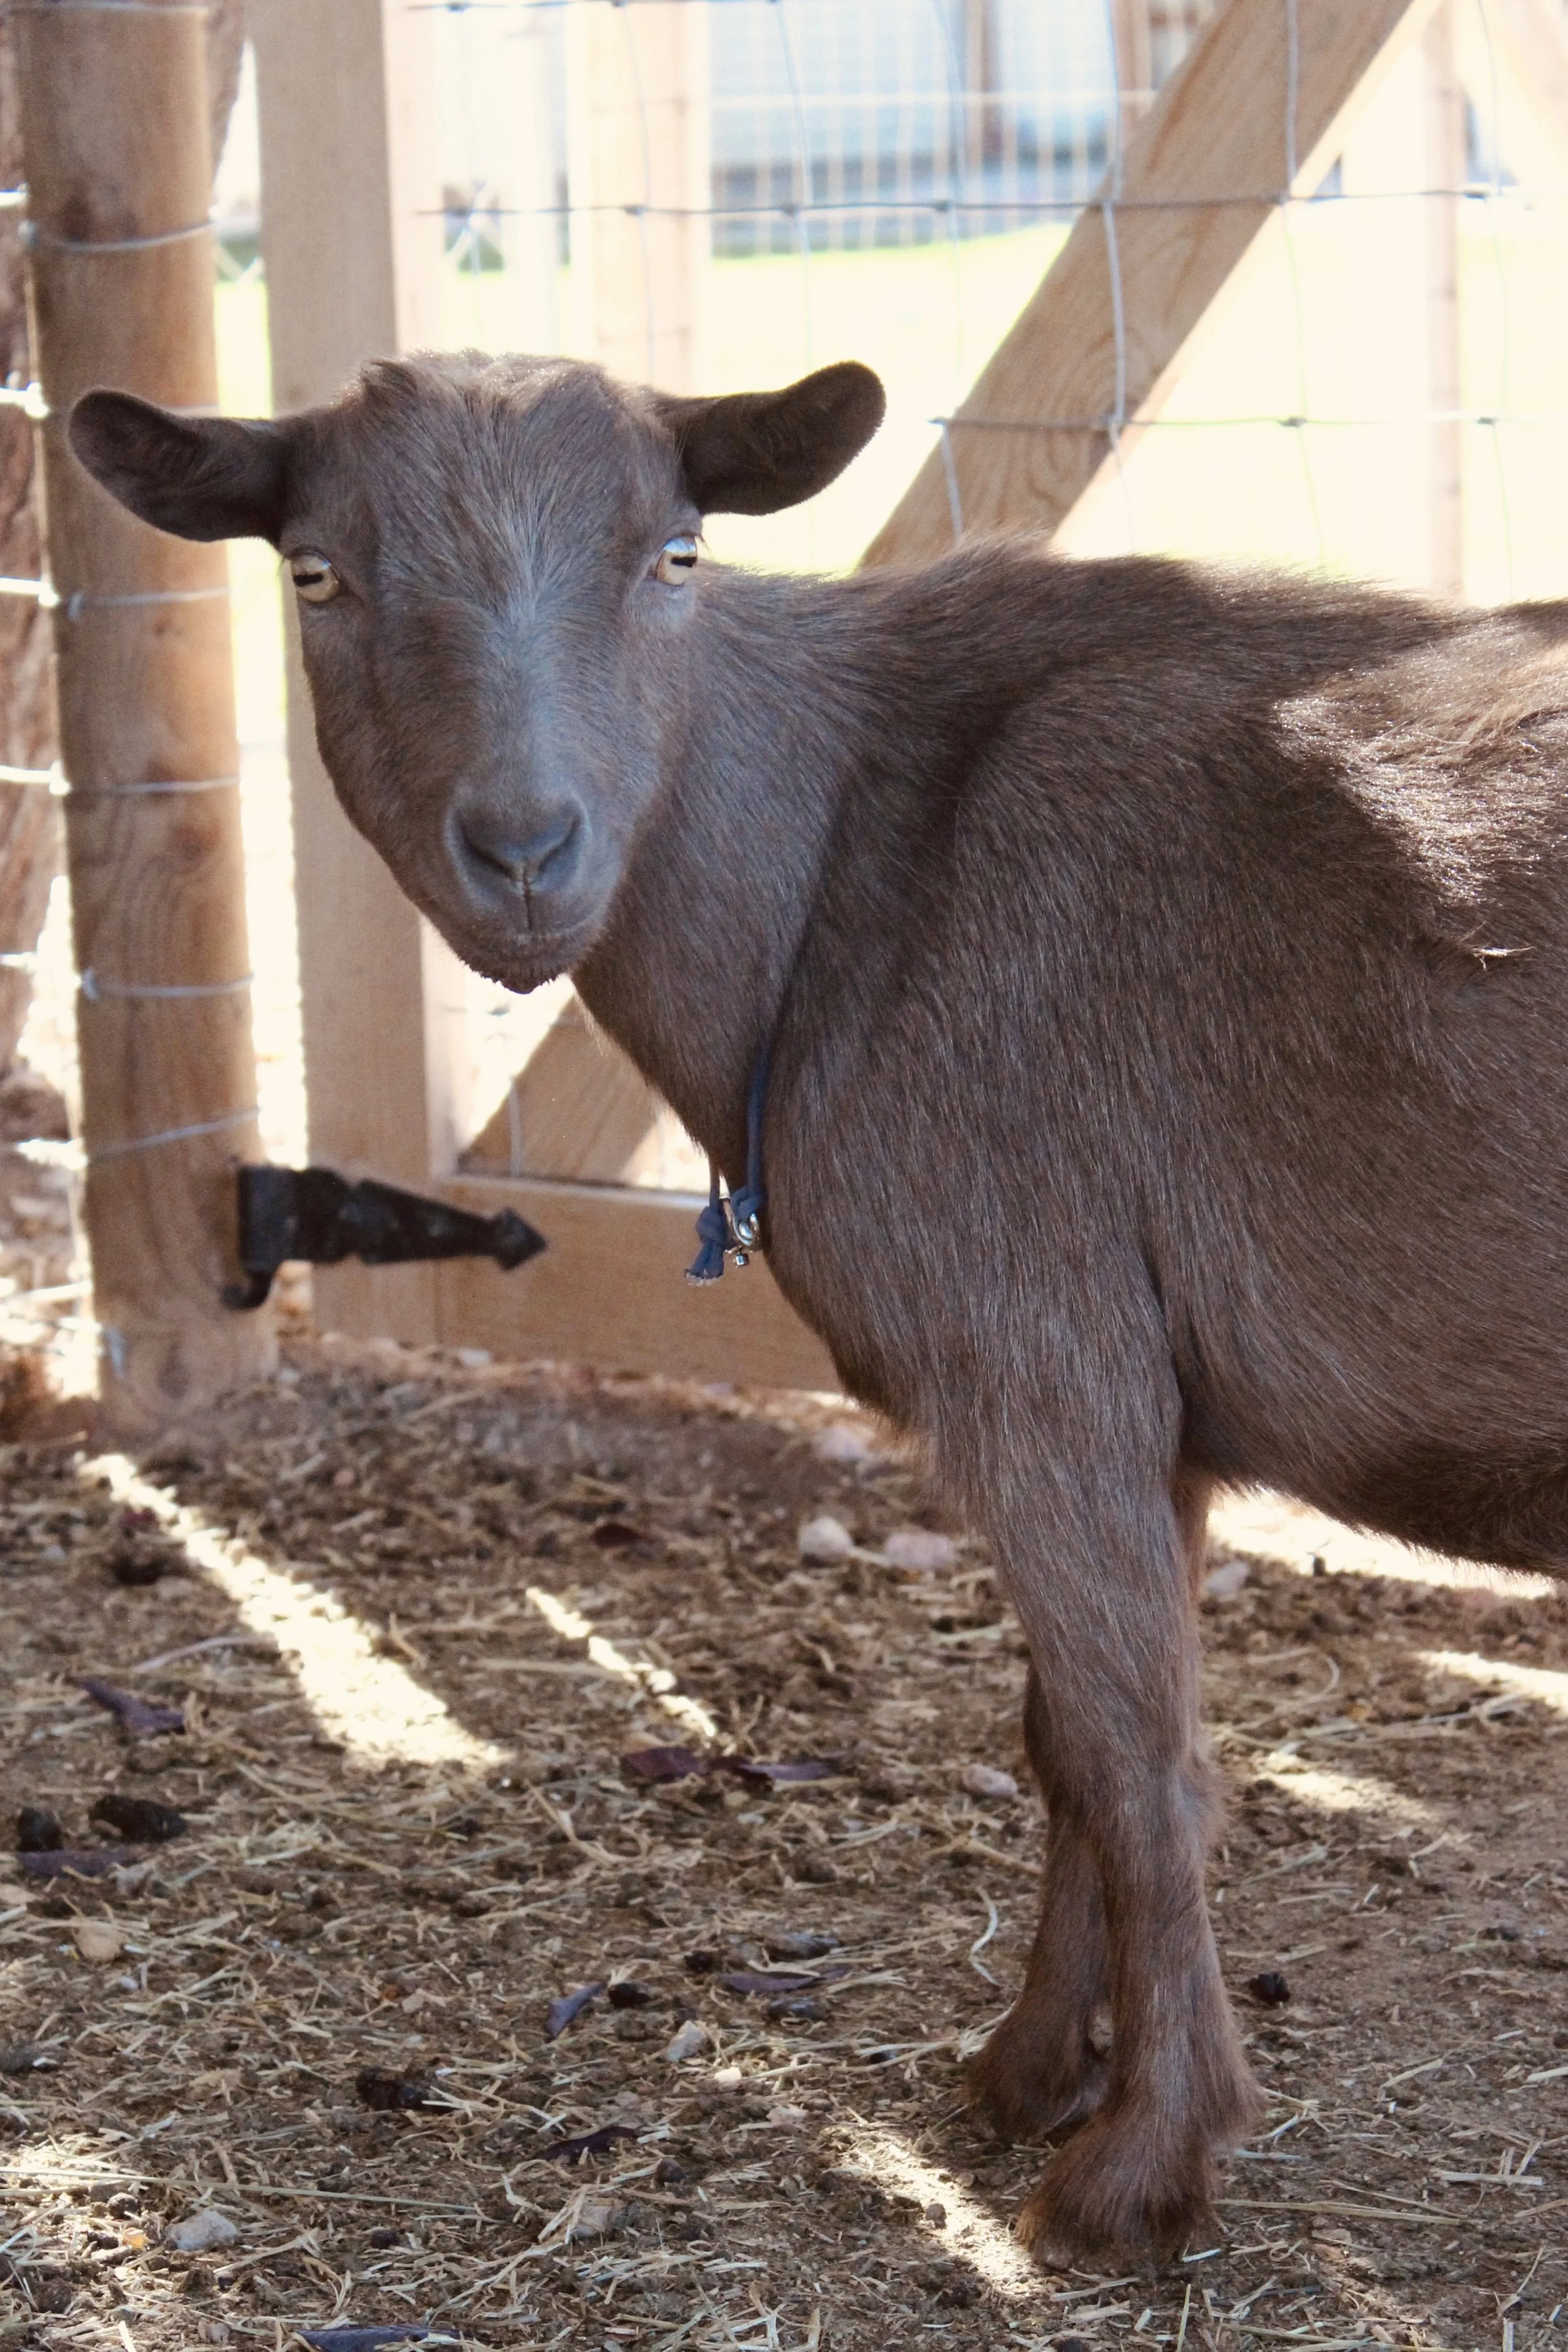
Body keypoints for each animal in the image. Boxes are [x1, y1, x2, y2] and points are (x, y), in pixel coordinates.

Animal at [70, 352, 1568, 2259]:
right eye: (315, 572)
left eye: (676, 555)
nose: (526, 851)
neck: (856, 858)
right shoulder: (1132, 1403)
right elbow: (1061, 1742)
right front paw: (1025, 2067)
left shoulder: (1035, 1350)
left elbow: (1136, 1757)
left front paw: (1136, 2164)